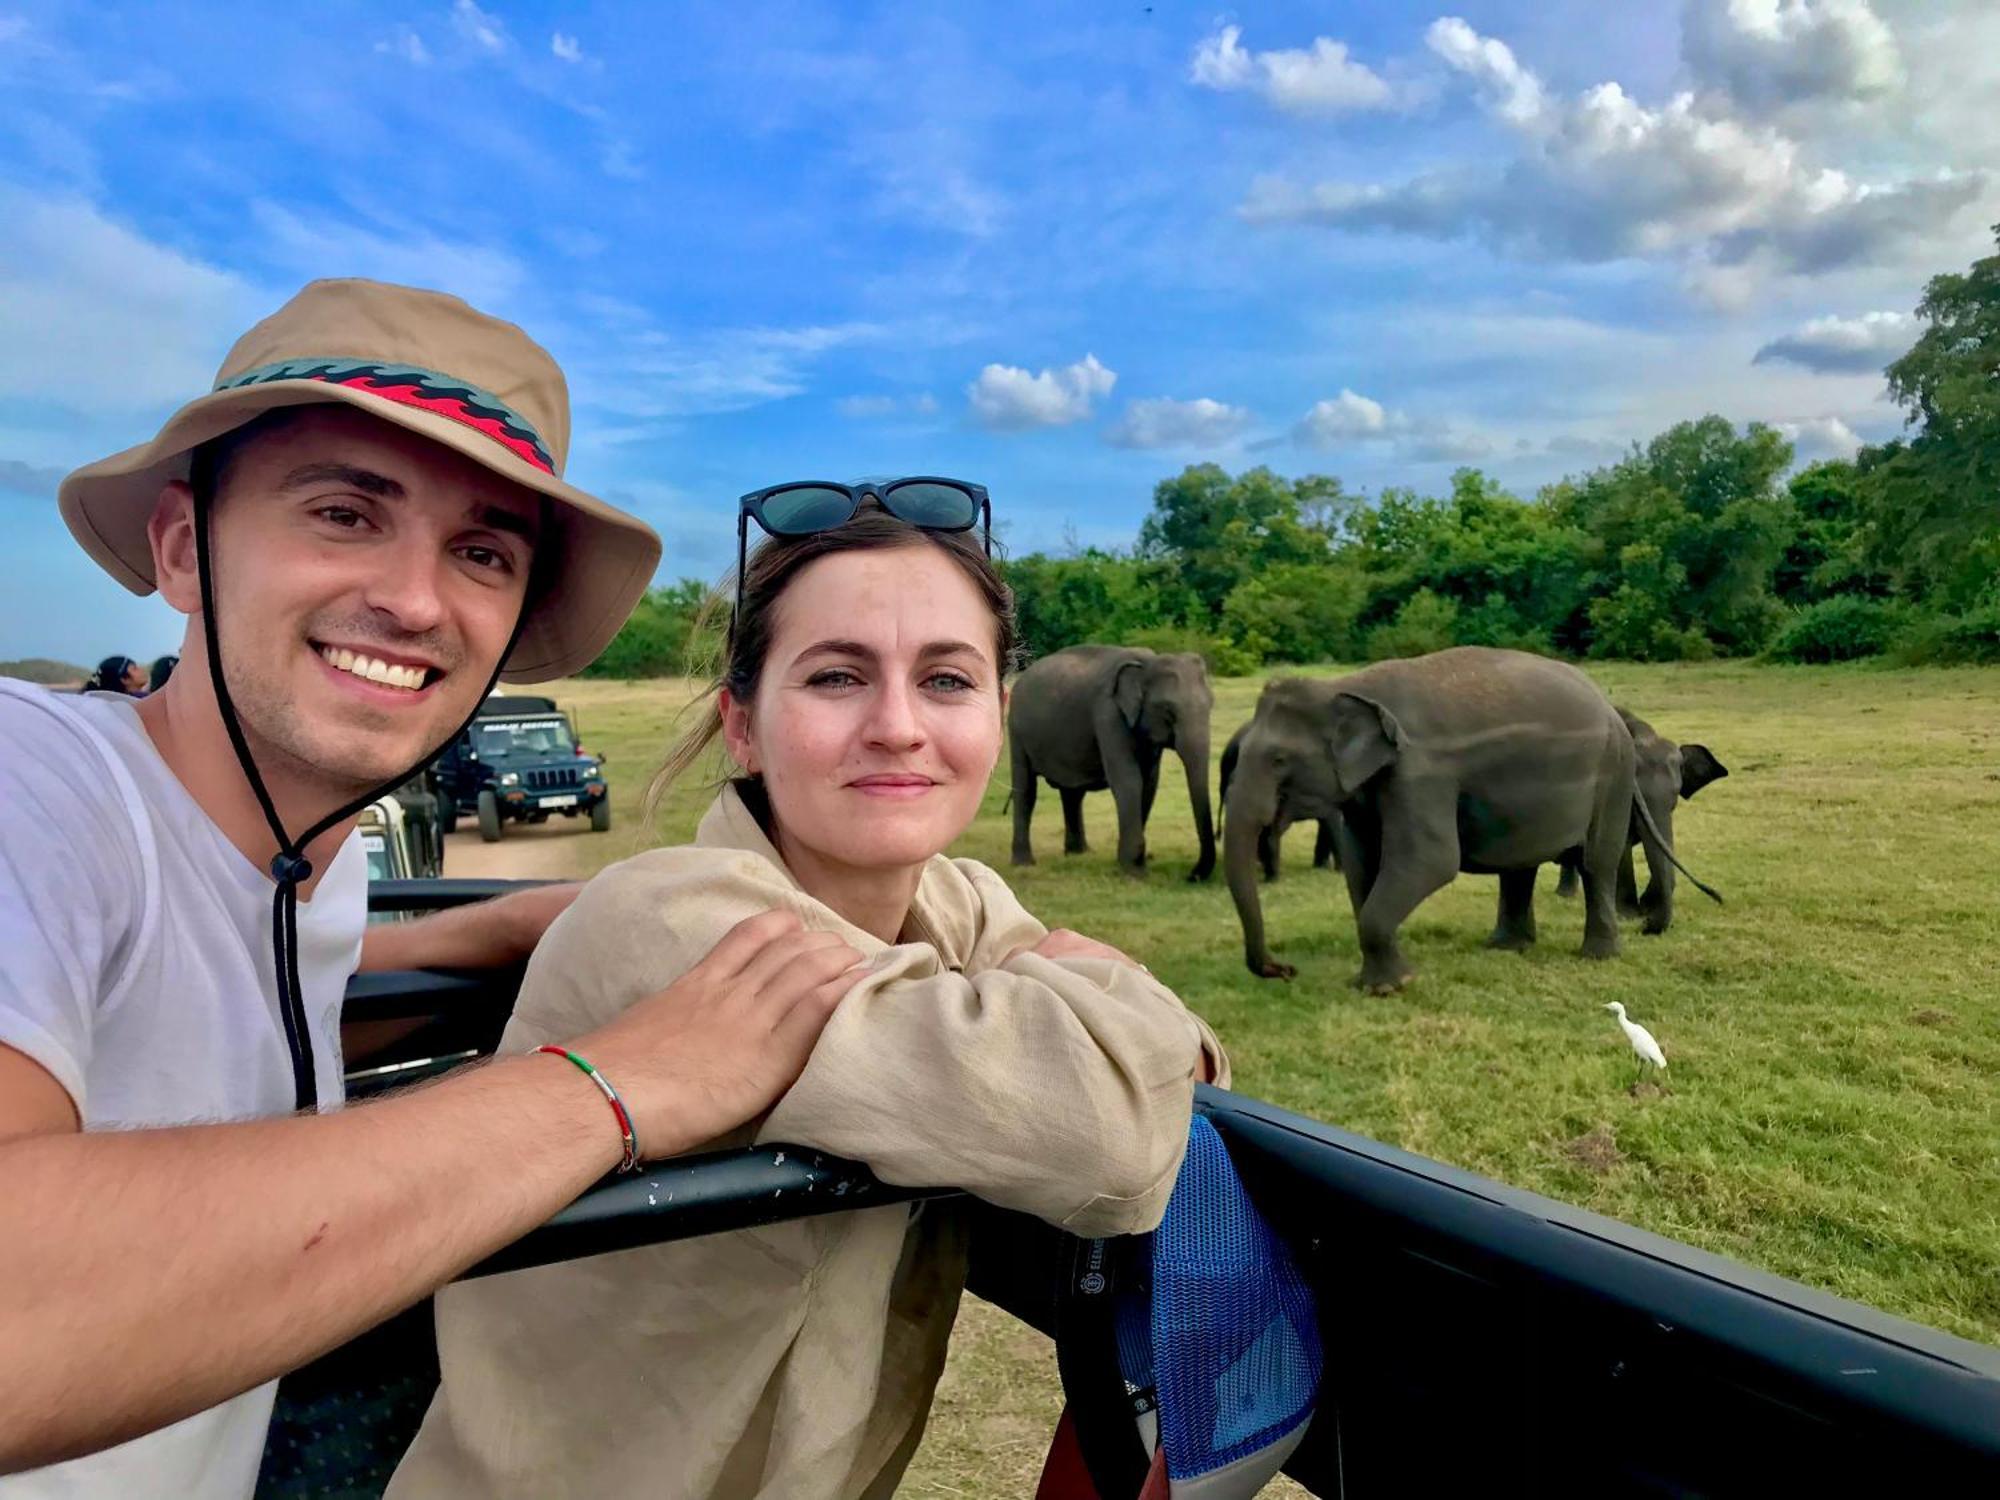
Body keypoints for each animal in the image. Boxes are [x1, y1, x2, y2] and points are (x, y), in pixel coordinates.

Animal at [1008, 648, 1208, 880]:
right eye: (1168, 710)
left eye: (1211, 705)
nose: (1191, 875)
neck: (1147, 663)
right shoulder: (1108, 714)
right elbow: (1128, 780)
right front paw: (1135, 873)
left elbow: (1149, 783)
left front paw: (1131, 865)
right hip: (1016, 729)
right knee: (1025, 789)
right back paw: (1024, 864)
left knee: (1072, 793)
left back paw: (1079, 854)